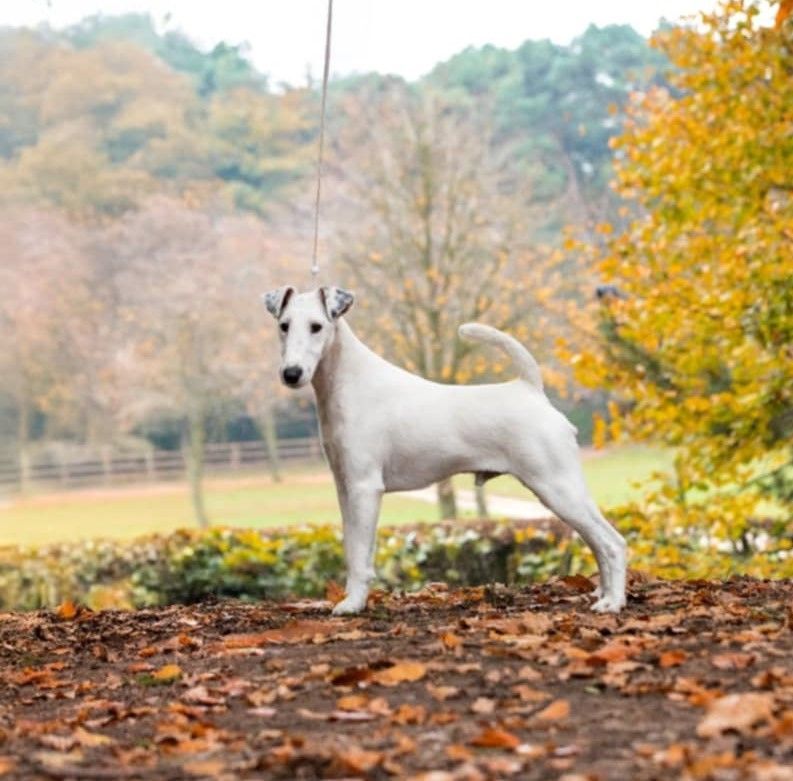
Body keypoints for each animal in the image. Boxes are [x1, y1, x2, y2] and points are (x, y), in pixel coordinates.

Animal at [262, 284, 628, 612]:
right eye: (284, 325)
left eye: (316, 326)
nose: (292, 373)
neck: (349, 382)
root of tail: (531, 390)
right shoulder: (345, 487)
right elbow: (352, 547)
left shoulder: (364, 488)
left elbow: (359, 555)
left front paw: (352, 605)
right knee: (599, 541)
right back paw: (604, 594)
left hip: (558, 487)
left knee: (612, 542)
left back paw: (613, 603)